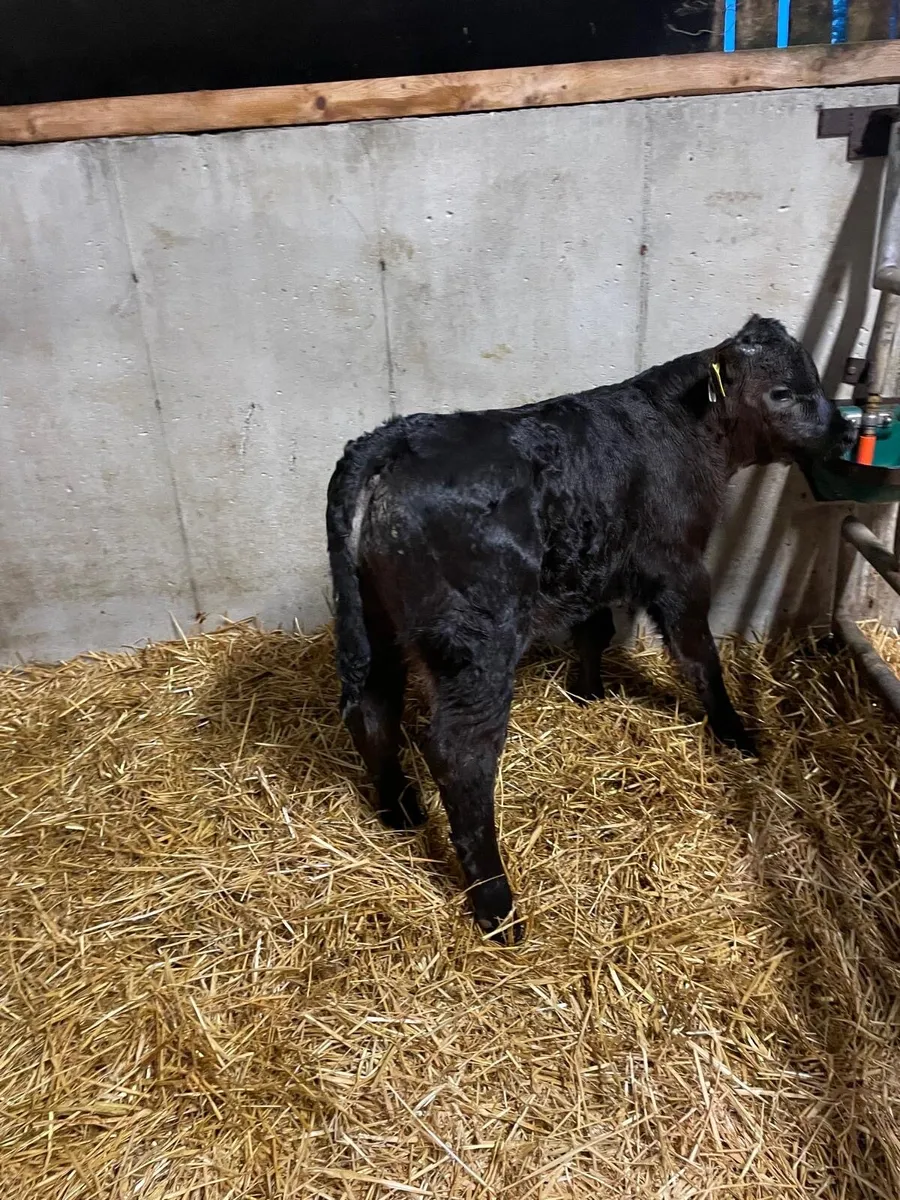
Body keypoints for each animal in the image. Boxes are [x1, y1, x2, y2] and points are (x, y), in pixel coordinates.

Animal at [326, 316, 851, 943]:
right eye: (783, 393)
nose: (842, 430)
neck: (686, 429)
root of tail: (395, 437)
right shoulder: (677, 567)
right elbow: (699, 655)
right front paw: (735, 734)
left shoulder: (595, 569)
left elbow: (593, 630)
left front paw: (588, 693)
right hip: (477, 643)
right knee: (460, 753)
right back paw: (497, 905)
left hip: (374, 622)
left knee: (372, 706)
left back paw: (398, 810)